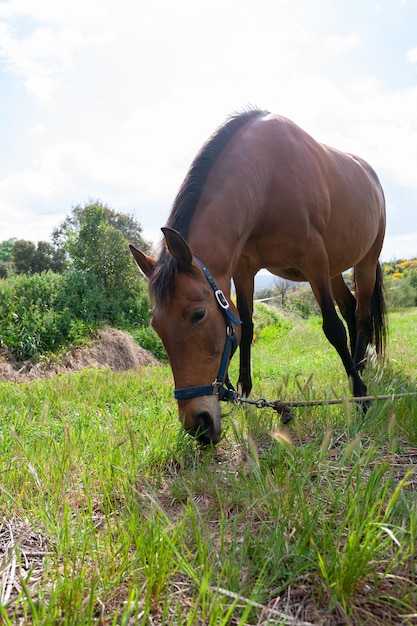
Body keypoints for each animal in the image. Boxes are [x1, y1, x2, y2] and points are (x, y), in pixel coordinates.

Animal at [131, 111, 386, 444]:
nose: (198, 425)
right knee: (350, 309)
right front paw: (244, 391)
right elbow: (247, 327)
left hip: (363, 263)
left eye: (197, 315)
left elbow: (332, 328)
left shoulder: (314, 260)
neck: (269, 178)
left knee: (360, 314)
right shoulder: (244, 269)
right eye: (156, 326)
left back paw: (358, 375)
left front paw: (360, 397)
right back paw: (358, 365)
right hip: (334, 271)